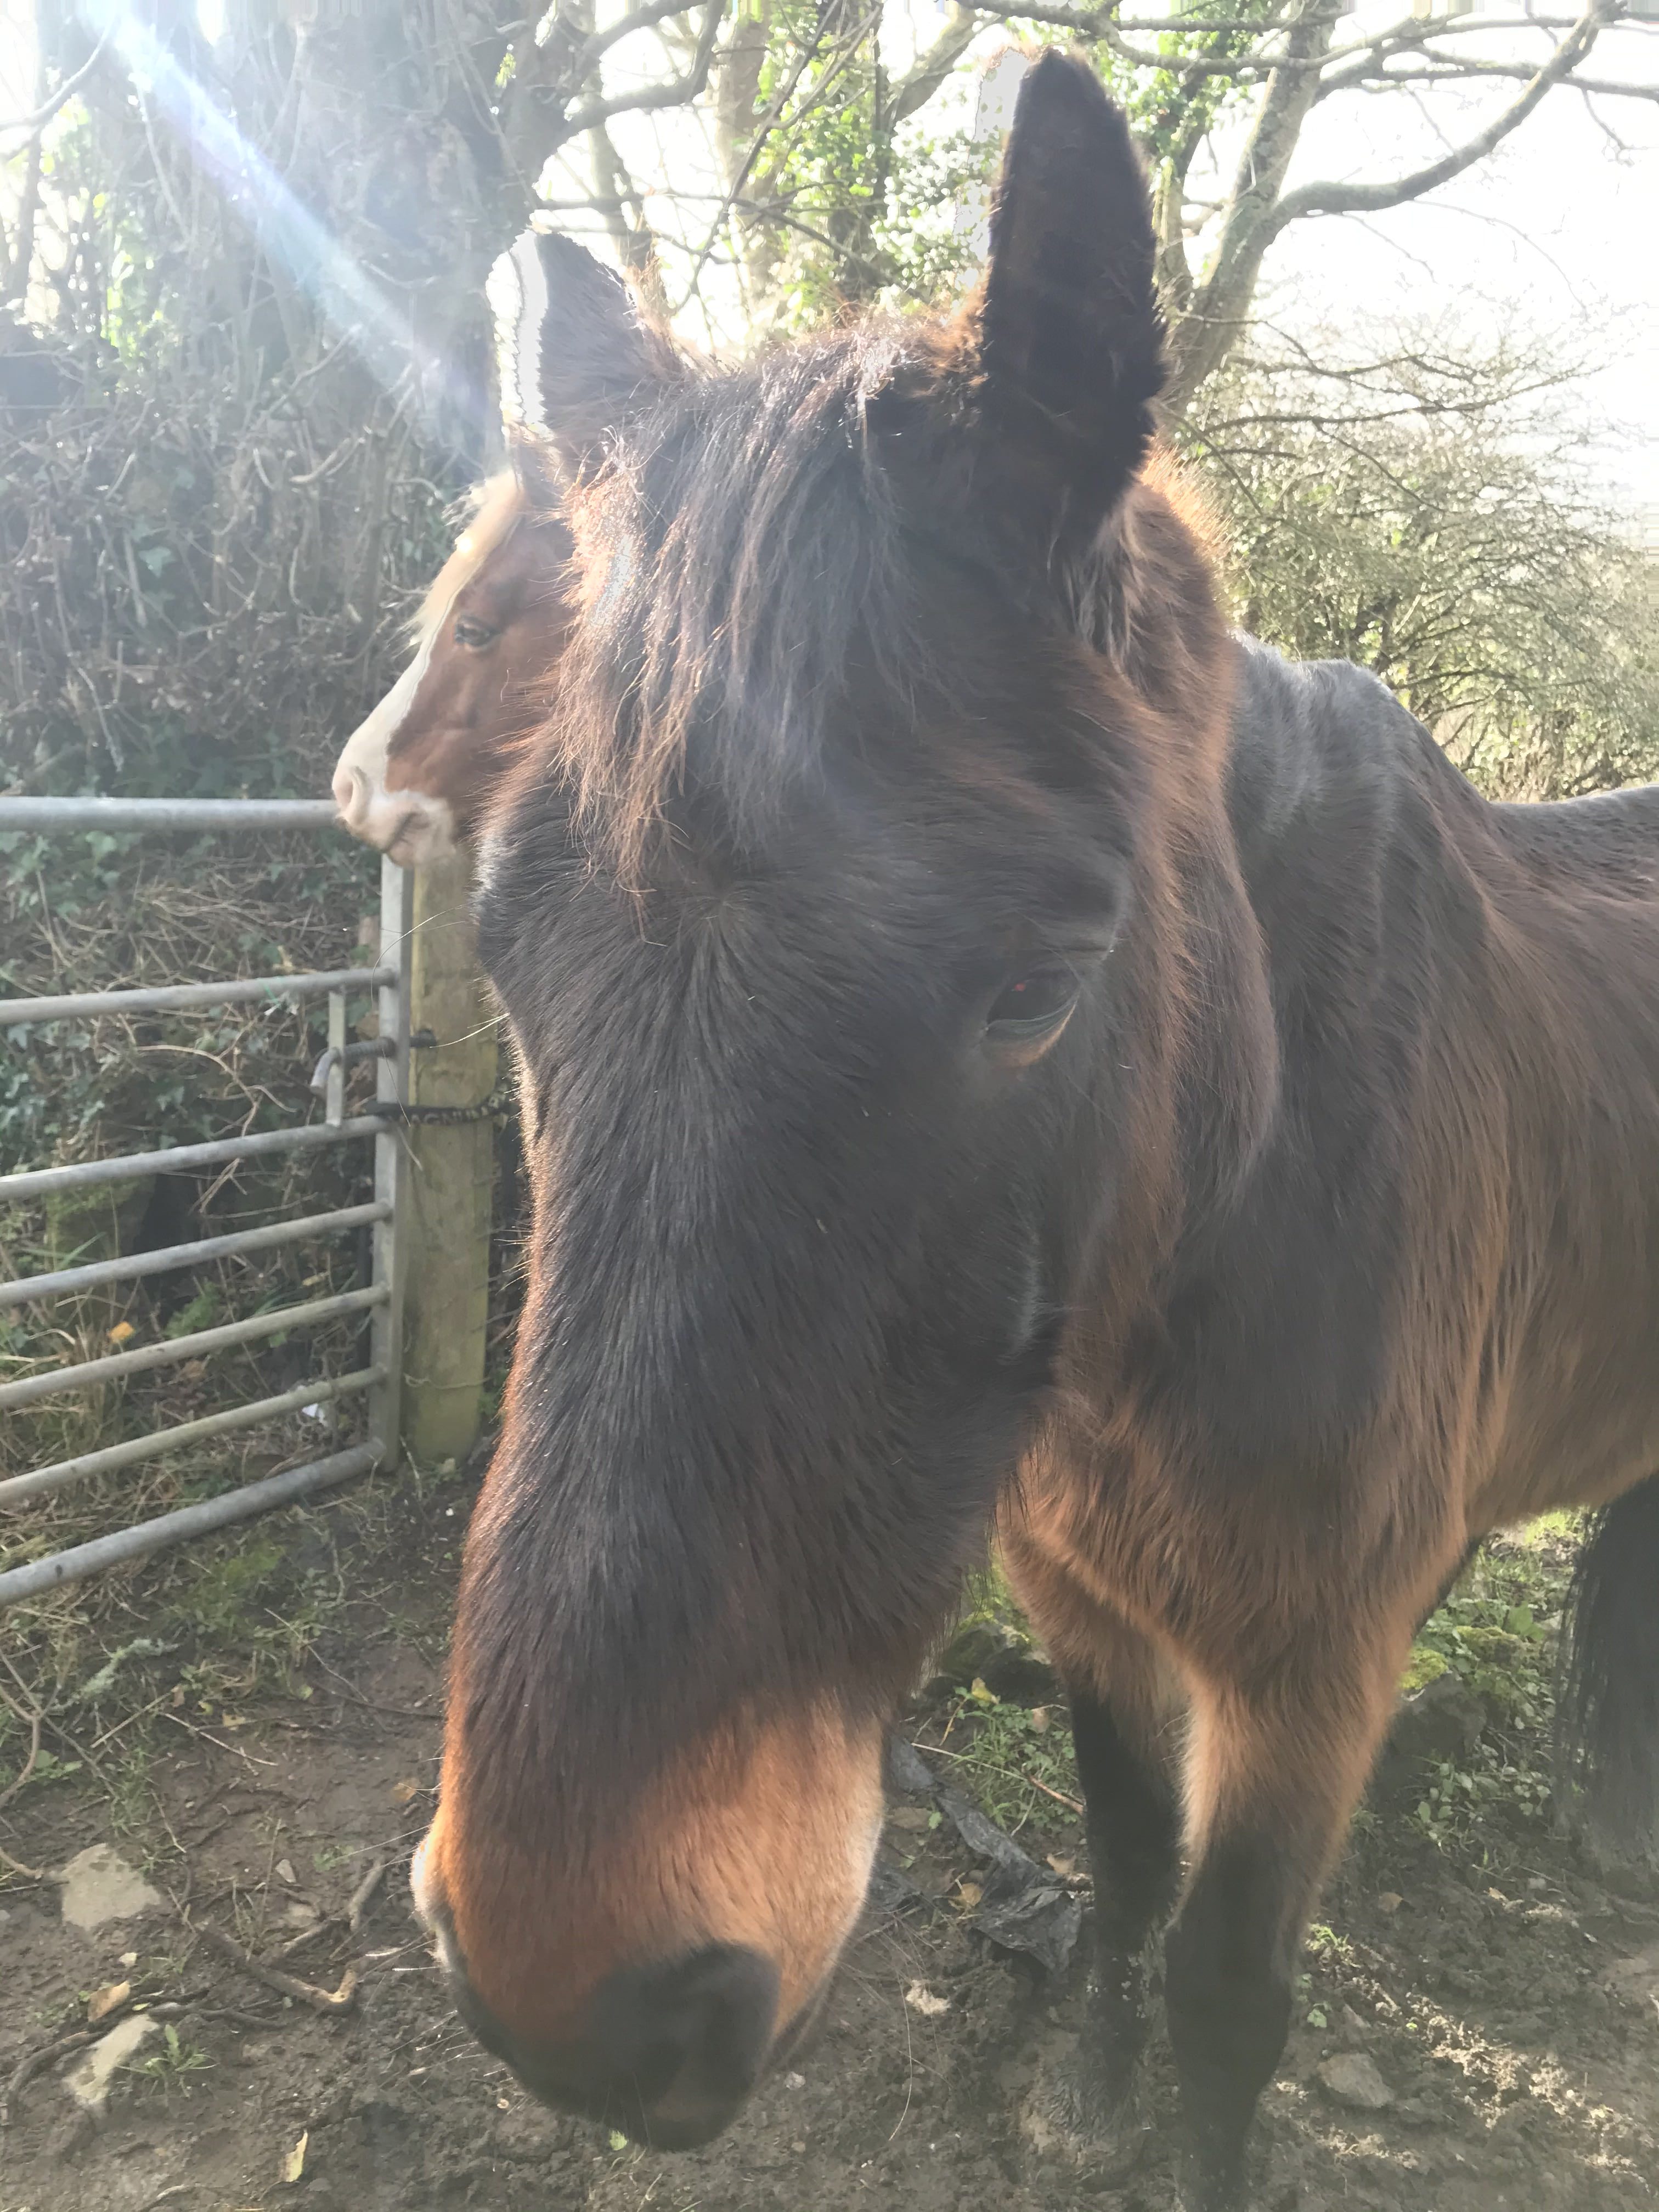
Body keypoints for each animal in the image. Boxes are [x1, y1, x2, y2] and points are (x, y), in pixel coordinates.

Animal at [407, 55, 1659, 2211]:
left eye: (1040, 981)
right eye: (504, 944)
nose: (580, 1994)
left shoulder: (1308, 1677)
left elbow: (1233, 1992)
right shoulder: (1089, 1601)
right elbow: (1129, 1872)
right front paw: (1087, 2084)